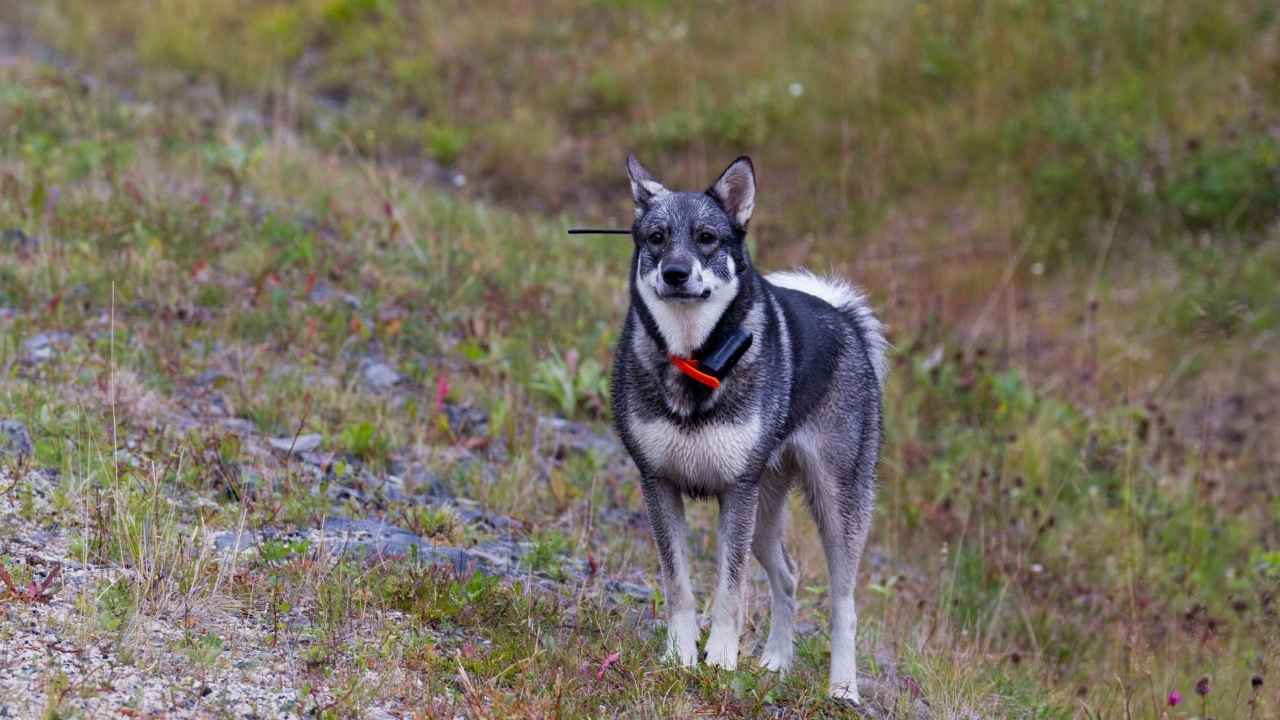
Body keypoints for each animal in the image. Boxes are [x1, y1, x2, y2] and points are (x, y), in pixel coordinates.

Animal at [611, 154, 890, 696]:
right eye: (656, 237)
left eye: (706, 237)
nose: (675, 273)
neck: (694, 356)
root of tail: (844, 318)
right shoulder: (659, 485)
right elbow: (679, 586)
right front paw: (680, 656)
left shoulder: (736, 493)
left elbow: (730, 590)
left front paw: (720, 659)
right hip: (764, 512)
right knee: (788, 577)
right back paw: (777, 659)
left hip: (834, 506)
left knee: (844, 605)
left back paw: (843, 689)